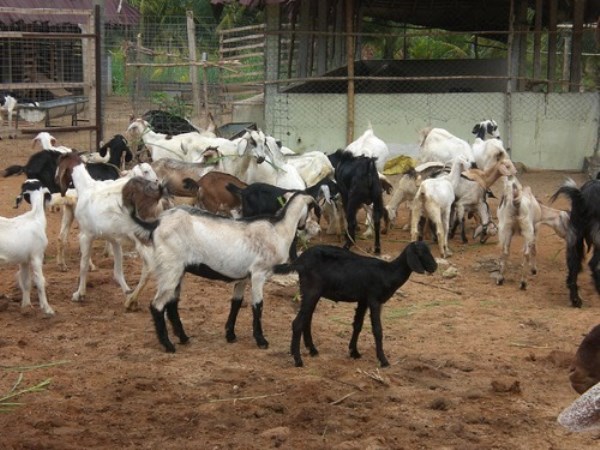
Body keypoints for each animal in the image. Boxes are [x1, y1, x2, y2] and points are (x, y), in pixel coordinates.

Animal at [274, 241, 438, 368]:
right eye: (421, 252)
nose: (435, 267)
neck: (389, 272)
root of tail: (299, 261)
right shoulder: (374, 299)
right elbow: (377, 330)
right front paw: (383, 360)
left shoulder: (363, 300)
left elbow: (357, 325)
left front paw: (354, 352)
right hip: (311, 290)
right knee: (297, 323)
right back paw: (298, 360)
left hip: (312, 293)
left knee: (307, 320)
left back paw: (312, 350)